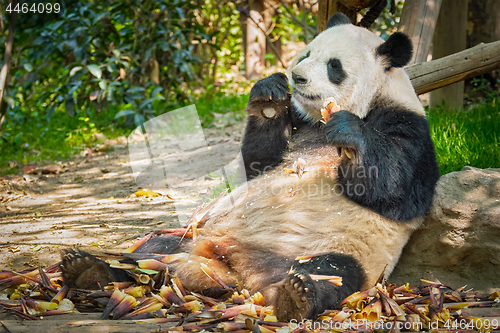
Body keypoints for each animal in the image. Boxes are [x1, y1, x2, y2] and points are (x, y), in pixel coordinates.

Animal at [60, 13, 440, 322]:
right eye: (306, 54)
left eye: (334, 65)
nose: (297, 77)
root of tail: (233, 268)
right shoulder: (300, 126)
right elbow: (257, 162)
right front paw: (269, 94)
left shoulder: (409, 126)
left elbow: (396, 188)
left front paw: (348, 132)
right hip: (190, 237)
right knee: (152, 250)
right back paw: (91, 270)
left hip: (339, 248)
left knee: (332, 272)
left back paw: (297, 297)